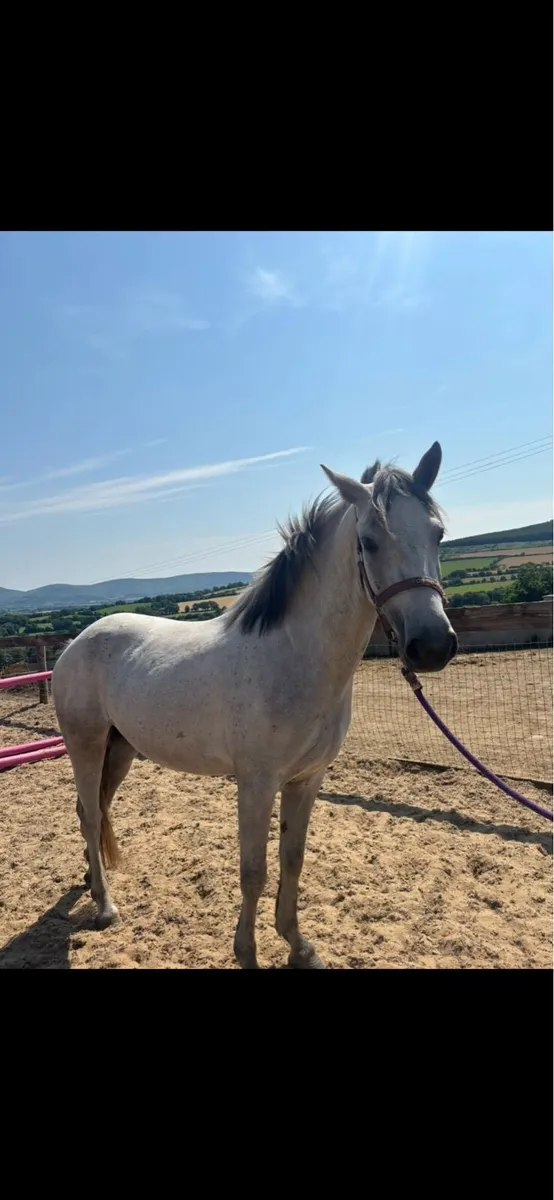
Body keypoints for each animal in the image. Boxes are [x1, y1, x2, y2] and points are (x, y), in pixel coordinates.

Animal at [52, 441, 457, 968]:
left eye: (437, 534)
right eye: (368, 541)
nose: (432, 646)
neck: (292, 656)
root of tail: (76, 642)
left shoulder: (307, 780)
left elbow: (292, 860)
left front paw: (299, 945)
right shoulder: (256, 783)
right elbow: (254, 871)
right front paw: (247, 951)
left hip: (119, 750)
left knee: (95, 811)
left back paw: (89, 878)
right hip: (85, 744)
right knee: (89, 813)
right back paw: (104, 906)